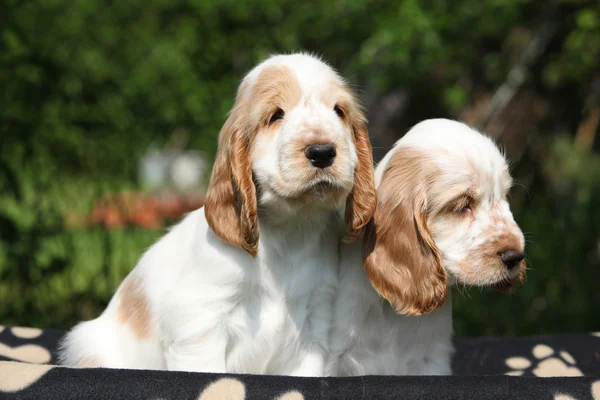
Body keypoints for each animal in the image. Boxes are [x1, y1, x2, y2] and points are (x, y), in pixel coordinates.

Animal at [57, 53, 376, 376]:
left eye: (339, 111)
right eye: (275, 115)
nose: (322, 152)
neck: (290, 230)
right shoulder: (201, 320)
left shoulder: (313, 325)